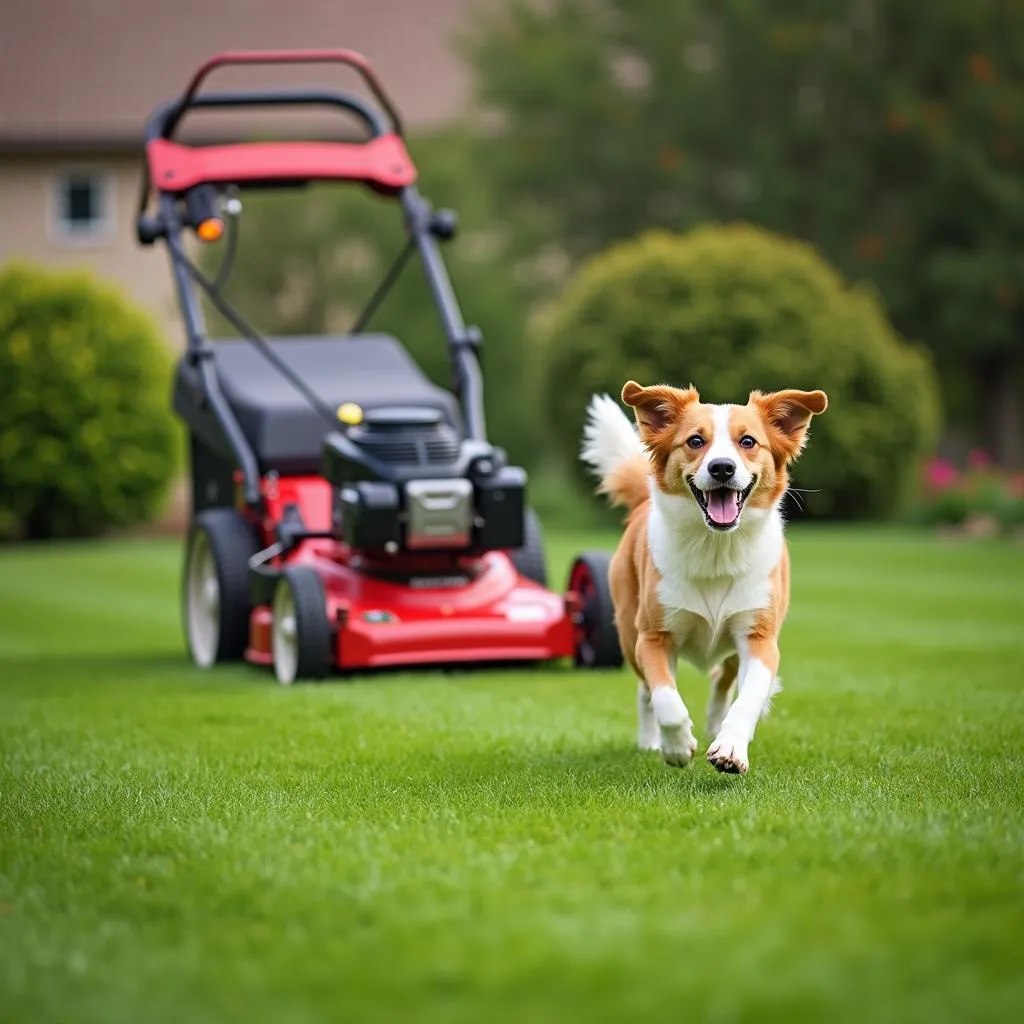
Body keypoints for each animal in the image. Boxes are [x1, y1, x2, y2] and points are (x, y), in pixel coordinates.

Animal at [581, 380, 827, 770]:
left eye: (748, 441)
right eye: (695, 441)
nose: (722, 468)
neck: (716, 548)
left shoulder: (760, 637)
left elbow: (748, 697)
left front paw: (730, 747)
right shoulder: (652, 637)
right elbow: (666, 698)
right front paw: (677, 746)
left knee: (721, 680)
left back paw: (715, 724)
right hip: (627, 632)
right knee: (645, 690)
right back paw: (651, 740)